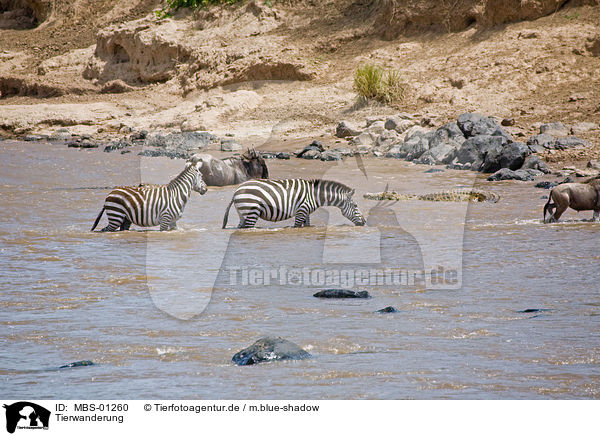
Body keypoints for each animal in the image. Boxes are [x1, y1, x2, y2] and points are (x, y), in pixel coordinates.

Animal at [221, 179, 366, 230]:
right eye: (355, 206)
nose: (364, 222)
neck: (314, 196)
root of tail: (236, 191)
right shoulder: (301, 211)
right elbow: (296, 226)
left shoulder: (306, 213)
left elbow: (306, 226)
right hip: (251, 211)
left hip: (242, 213)